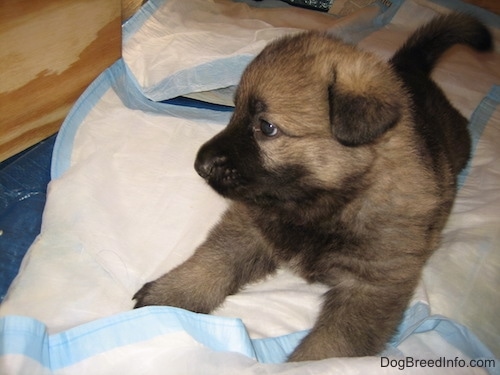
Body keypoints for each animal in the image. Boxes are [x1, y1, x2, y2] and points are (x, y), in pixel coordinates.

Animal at [134, 13, 492, 362]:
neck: (325, 204)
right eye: (234, 112)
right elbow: (211, 261)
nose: (200, 164)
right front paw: (169, 294)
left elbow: (329, 348)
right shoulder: (250, 225)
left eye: (267, 127)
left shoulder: (370, 287)